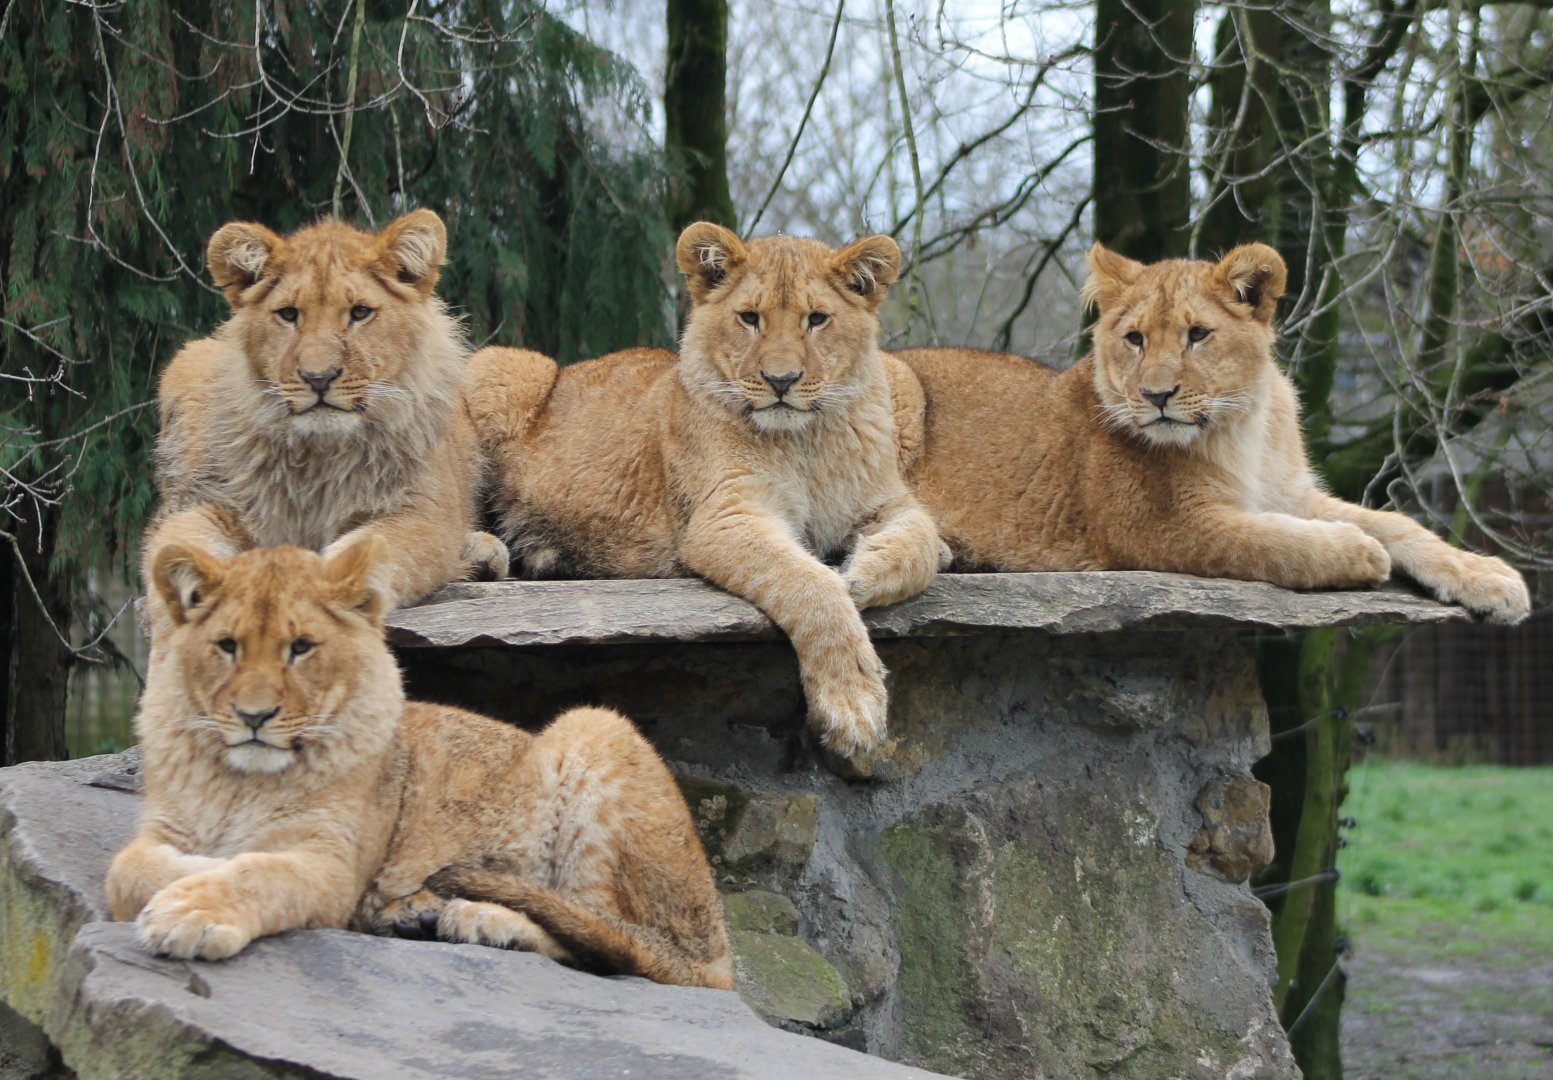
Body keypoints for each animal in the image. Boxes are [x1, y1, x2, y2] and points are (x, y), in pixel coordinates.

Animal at [105, 540, 733, 989]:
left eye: (301, 648)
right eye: (227, 646)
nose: (253, 716)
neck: (237, 781)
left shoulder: (332, 867)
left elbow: (261, 872)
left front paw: (194, 908)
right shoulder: (160, 830)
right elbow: (125, 870)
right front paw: (191, 872)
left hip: (595, 728)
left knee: (631, 949)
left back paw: (478, 919)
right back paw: (416, 914)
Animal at [142, 210, 507, 630]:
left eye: (360, 312)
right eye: (289, 314)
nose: (318, 378)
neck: (318, 454)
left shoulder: (424, 516)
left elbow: (361, 554)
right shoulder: (209, 504)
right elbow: (175, 551)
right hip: (189, 361)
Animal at [463, 223, 943, 758]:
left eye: (817, 319)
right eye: (749, 318)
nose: (781, 381)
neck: (806, 442)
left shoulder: (886, 501)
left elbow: (924, 542)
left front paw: (866, 572)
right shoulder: (725, 518)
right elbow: (812, 585)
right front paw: (853, 705)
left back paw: (544, 555)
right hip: (498, 366)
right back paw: (483, 554)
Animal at [895, 243, 1530, 623]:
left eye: (1197, 335)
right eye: (1134, 339)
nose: (1156, 395)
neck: (1241, 425)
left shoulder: (1291, 493)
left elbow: (1398, 523)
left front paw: (1489, 577)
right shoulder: (1158, 526)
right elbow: (1271, 542)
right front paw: (1356, 551)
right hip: (900, 388)